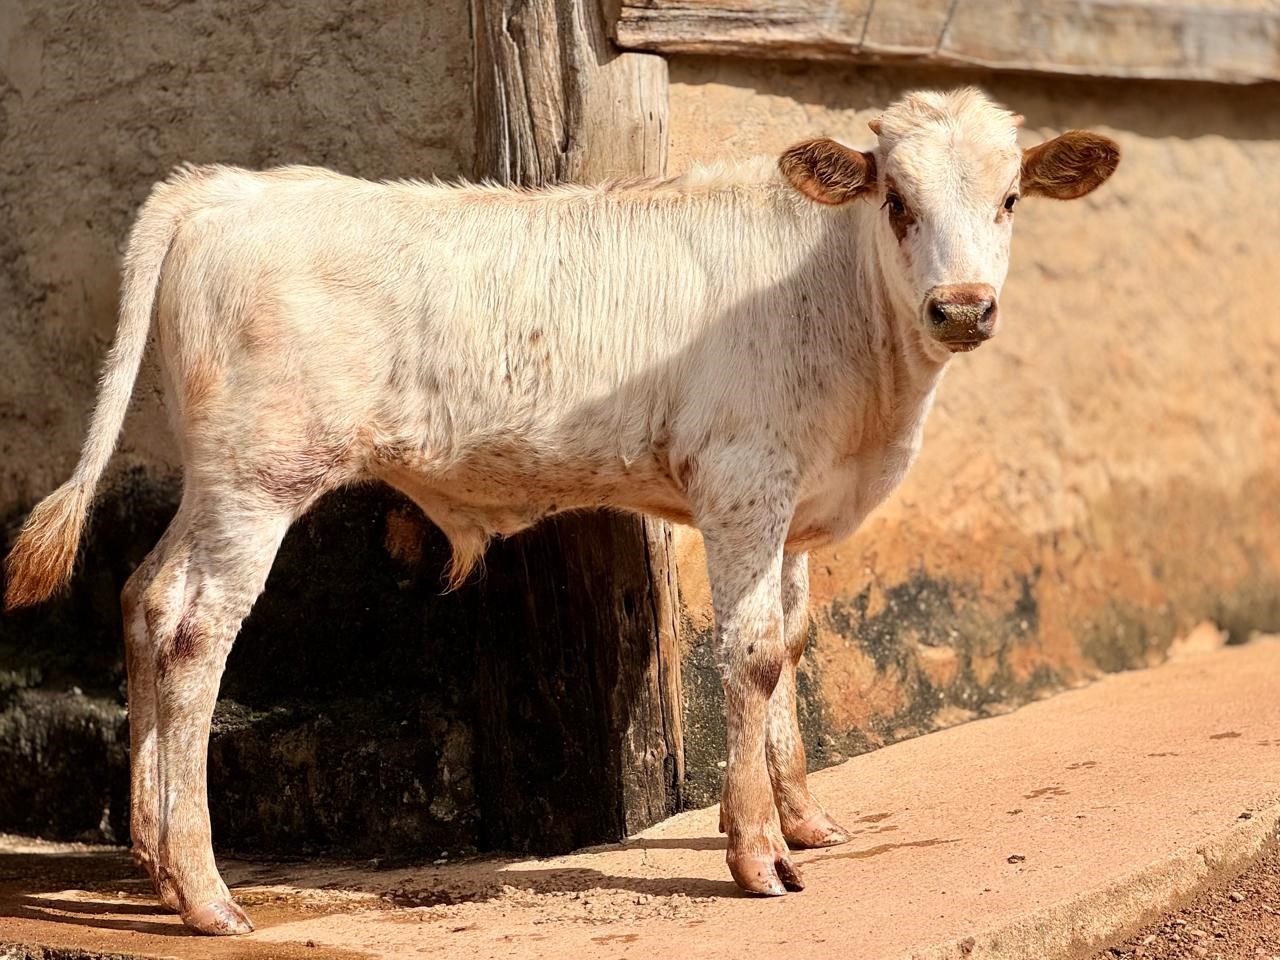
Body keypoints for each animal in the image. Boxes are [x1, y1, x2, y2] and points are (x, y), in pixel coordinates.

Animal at [3, 87, 1118, 935]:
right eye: (895, 200)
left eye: (1009, 198)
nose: (962, 308)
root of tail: (224, 188)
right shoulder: (743, 482)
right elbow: (752, 653)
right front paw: (757, 853)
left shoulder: (797, 500)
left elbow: (795, 640)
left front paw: (805, 819)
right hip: (259, 477)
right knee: (194, 631)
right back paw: (203, 892)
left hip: (216, 482)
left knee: (144, 598)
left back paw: (150, 857)